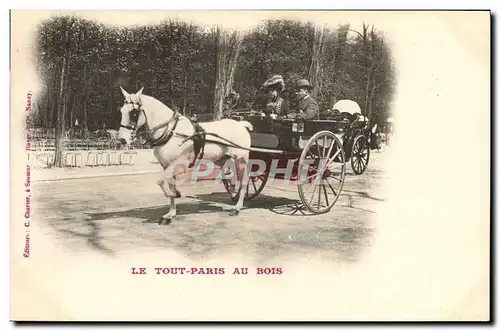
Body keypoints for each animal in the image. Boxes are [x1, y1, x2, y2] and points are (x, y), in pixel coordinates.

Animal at [117, 87, 254, 226]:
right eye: (121, 111)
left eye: (133, 113)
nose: (122, 140)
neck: (171, 132)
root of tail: (241, 124)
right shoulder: (166, 165)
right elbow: (169, 184)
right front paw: (170, 214)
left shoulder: (178, 165)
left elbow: (160, 182)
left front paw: (176, 194)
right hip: (223, 159)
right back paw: (233, 193)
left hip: (241, 159)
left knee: (244, 180)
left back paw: (237, 208)